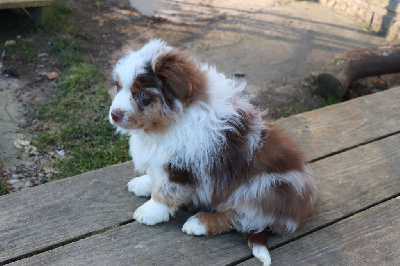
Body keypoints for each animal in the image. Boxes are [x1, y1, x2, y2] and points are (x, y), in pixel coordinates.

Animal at [109, 40, 316, 266]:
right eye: (118, 87)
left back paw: (198, 223)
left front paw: (150, 212)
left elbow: (165, 190)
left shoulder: (180, 166)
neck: (164, 125)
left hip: (265, 187)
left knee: (241, 218)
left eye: (142, 95)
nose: (114, 114)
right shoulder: (164, 158)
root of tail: (299, 211)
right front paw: (143, 184)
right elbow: (156, 176)